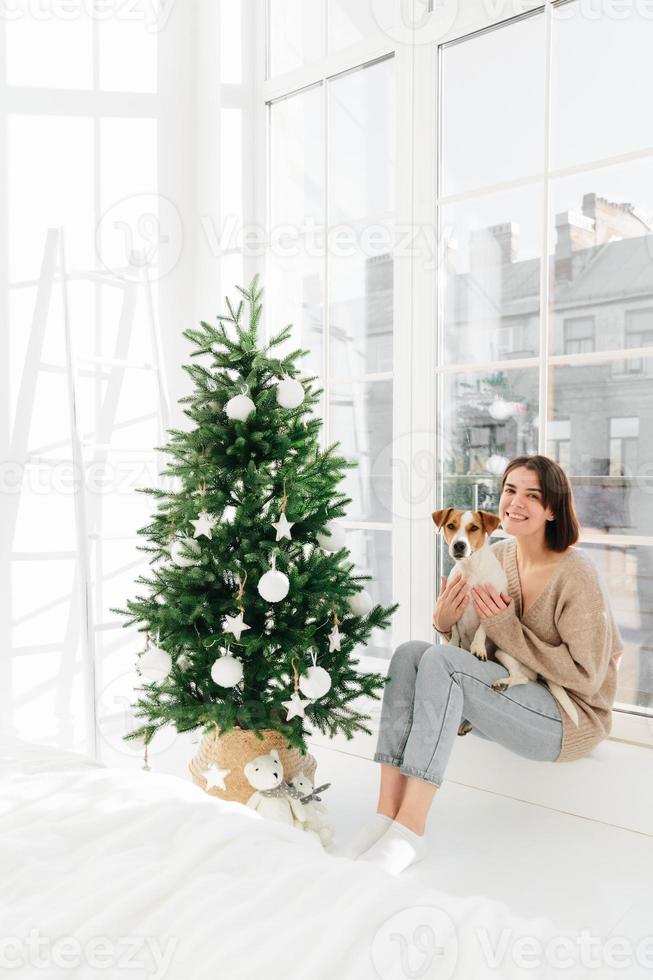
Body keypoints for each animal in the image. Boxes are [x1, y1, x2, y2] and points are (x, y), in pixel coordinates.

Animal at [436, 510, 580, 732]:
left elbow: (482, 628)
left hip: (502, 652)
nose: (458, 545)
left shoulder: (492, 605)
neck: (471, 569)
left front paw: (478, 647)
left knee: (522, 677)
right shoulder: (452, 603)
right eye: (451, 526)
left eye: (474, 528)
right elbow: (455, 629)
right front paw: (453, 643)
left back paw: (503, 682)